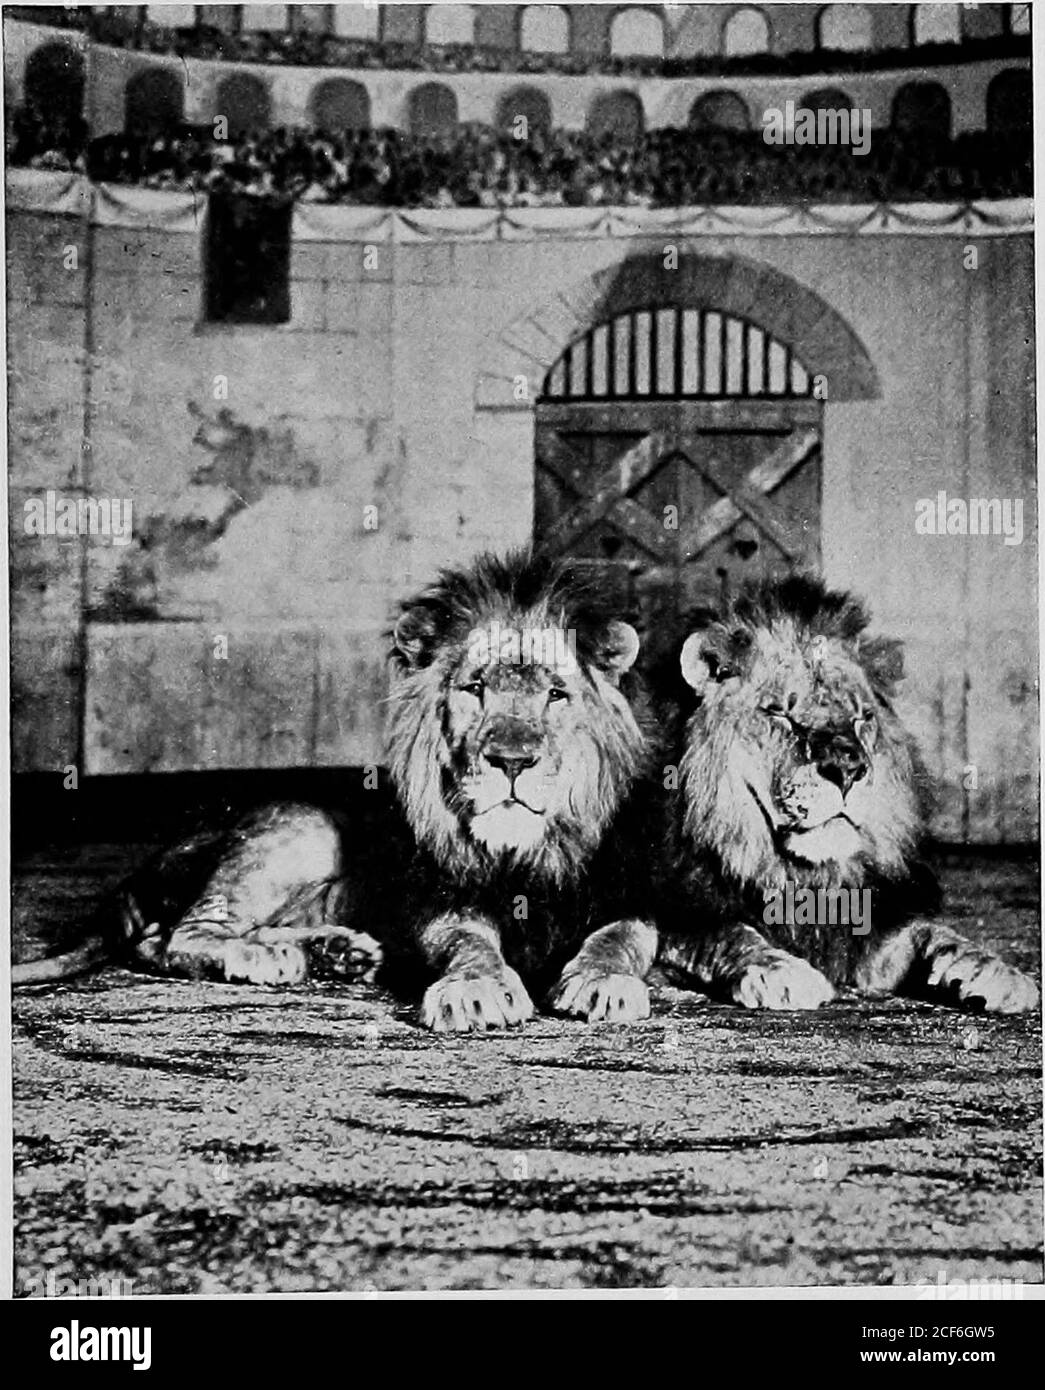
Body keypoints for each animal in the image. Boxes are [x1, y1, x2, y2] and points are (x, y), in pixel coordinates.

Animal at [14, 551, 661, 1032]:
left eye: (556, 694)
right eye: (475, 688)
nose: (511, 760)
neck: (525, 851)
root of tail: (138, 872)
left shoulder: (637, 896)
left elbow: (622, 935)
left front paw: (603, 982)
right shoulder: (439, 900)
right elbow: (466, 940)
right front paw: (474, 989)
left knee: (155, 940)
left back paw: (333, 952)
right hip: (306, 824)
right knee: (179, 935)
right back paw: (274, 956)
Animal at [657, 574, 1040, 1015]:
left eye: (862, 717)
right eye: (780, 713)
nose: (847, 770)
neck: (803, 875)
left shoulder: (870, 927)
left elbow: (931, 930)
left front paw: (993, 971)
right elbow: (723, 933)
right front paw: (780, 971)